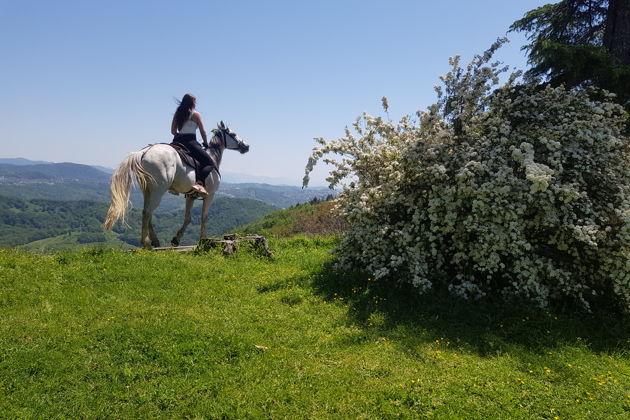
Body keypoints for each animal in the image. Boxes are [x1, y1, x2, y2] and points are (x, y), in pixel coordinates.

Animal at [102, 120, 249, 249]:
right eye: (233, 134)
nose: (246, 146)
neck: (212, 159)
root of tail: (144, 152)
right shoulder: (210, 195)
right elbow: (204, 217)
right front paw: (203, 239)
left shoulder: (190, 196)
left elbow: (188, 218)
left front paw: (176, 240)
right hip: (158, 190)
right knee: (147, 212)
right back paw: (146, 243)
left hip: (148, 190)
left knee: (148, 212)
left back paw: (154, 240)